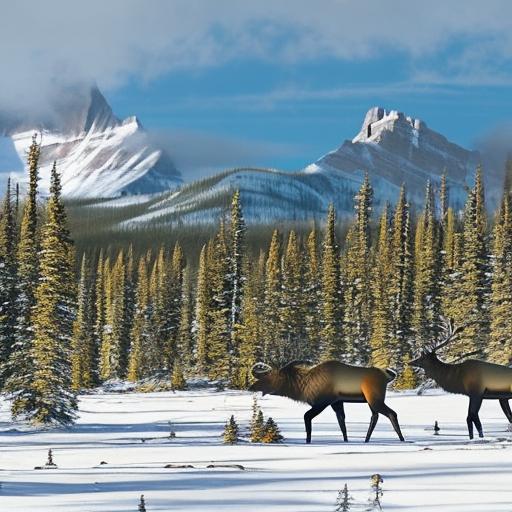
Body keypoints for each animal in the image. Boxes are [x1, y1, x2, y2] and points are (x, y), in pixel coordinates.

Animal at [248, 358, 404, 442]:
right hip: (371, 401)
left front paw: (308, 441)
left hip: (374, 398)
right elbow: (342, 423)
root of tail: (388, 376)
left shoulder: (323, 402)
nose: (251, 387)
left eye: (273, 377)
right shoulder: (337, 402)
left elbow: (307, 418)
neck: (305, 387)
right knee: (375, 416)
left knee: (391, 413)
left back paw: (401, 439)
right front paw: (346, 440)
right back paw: (366, 440)